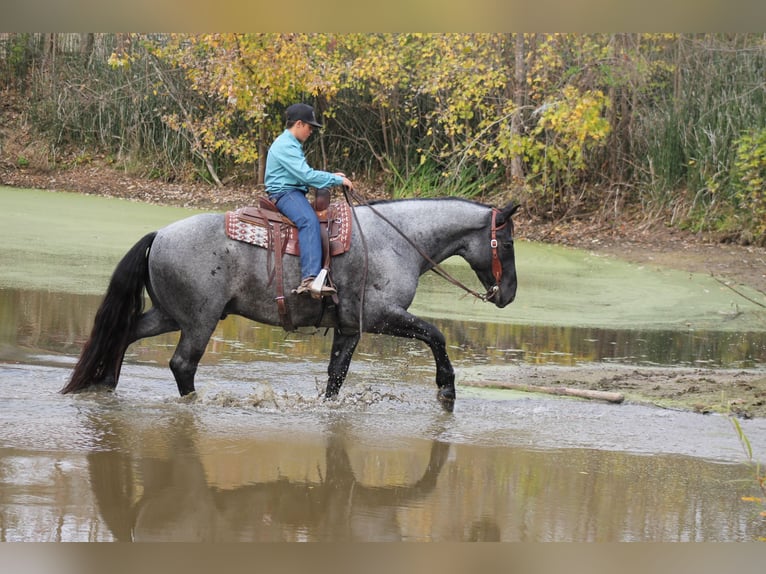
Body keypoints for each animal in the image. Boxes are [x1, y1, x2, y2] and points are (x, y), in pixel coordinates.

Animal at [61, 197, 520, 410]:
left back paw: (105, 386)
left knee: (123, 335)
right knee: (182, 364)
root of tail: (159, 234)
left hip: (169, 315)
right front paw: (446, 389)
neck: (396, 241)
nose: (510, 294)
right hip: (198, 321)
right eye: (509, 242)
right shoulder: (381, 317)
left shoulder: (349, 328)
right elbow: (436, 334)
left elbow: (336, 375)